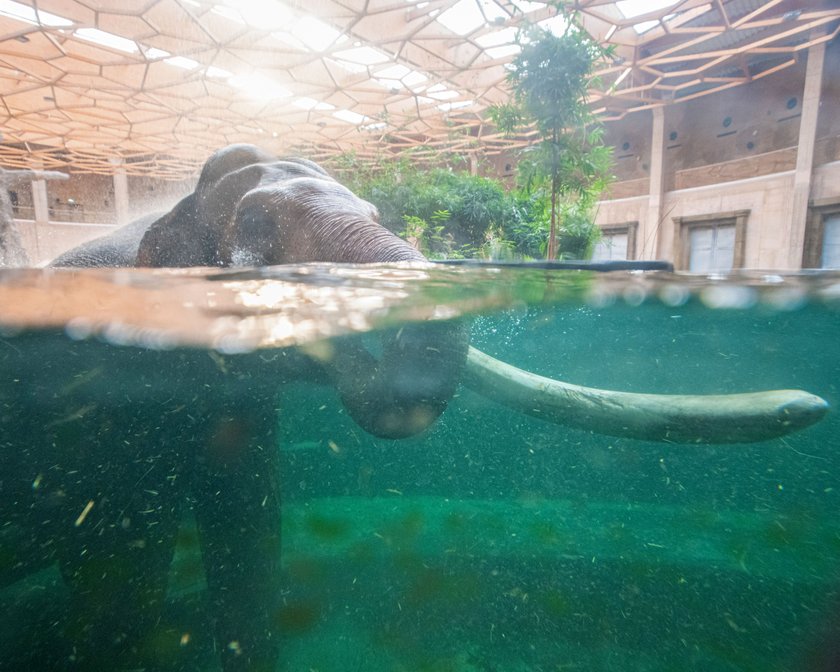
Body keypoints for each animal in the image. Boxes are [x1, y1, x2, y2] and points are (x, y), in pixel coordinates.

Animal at [0, 144, 828, 668]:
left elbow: (250, 539)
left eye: (376, 211)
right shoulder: (92, 400)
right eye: (253, 240)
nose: (807, 404)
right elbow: (120, 583)